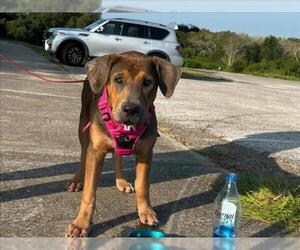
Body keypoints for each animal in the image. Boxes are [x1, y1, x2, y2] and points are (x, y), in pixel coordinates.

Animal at [66, 50, 180, 236]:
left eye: (147, 82)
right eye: (118, 79)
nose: (131, 109)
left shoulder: (146, 153)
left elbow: (142, 185)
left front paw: (145, 211)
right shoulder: (96, 151)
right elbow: (90, 192)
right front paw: (81, 223)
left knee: (117, 156)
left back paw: (121, 182)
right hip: (83, 125)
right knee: (83, 154)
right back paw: (76, 180)